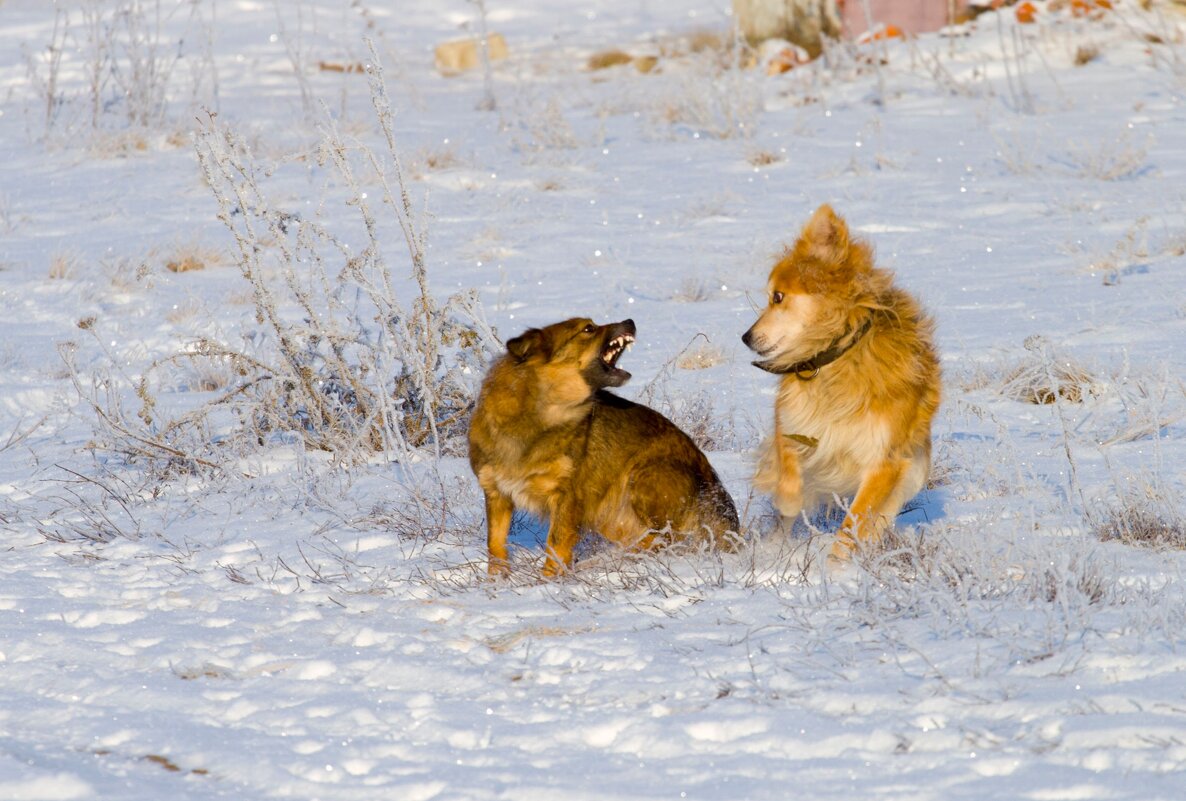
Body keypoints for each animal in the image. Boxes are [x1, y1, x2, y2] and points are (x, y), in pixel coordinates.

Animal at [464, 315, 735, 574]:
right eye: (588, 329)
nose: (630, 321)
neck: (537, 414)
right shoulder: (497, 492)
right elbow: (495, 546)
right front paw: (496, 582)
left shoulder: (568, 497)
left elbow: (556, 547)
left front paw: (548, 582)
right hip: (612, 514)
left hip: (644, 477)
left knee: (668, 539)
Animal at [744, 204, 939, 560]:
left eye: (778, 297)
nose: (746, 337)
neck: (838, 354)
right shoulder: (792, 420)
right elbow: (788, 470)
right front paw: (788, 501)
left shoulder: (885, 462)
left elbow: (853, 524)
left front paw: (837, 566)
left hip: (913, 473)